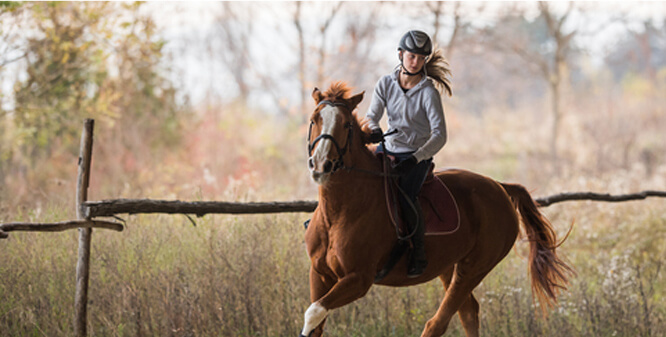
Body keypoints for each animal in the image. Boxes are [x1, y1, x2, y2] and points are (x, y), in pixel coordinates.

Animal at [300, 82, 572, 336]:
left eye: (346, 125)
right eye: (314, 119)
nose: (321, 165)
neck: (339, 212)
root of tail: (500, 186)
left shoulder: (359, 278)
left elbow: (312, 312)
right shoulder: (320, 273)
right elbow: (315, 322)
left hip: (474, 268)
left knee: (439, 322)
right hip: (448, 266)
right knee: (468, 312)